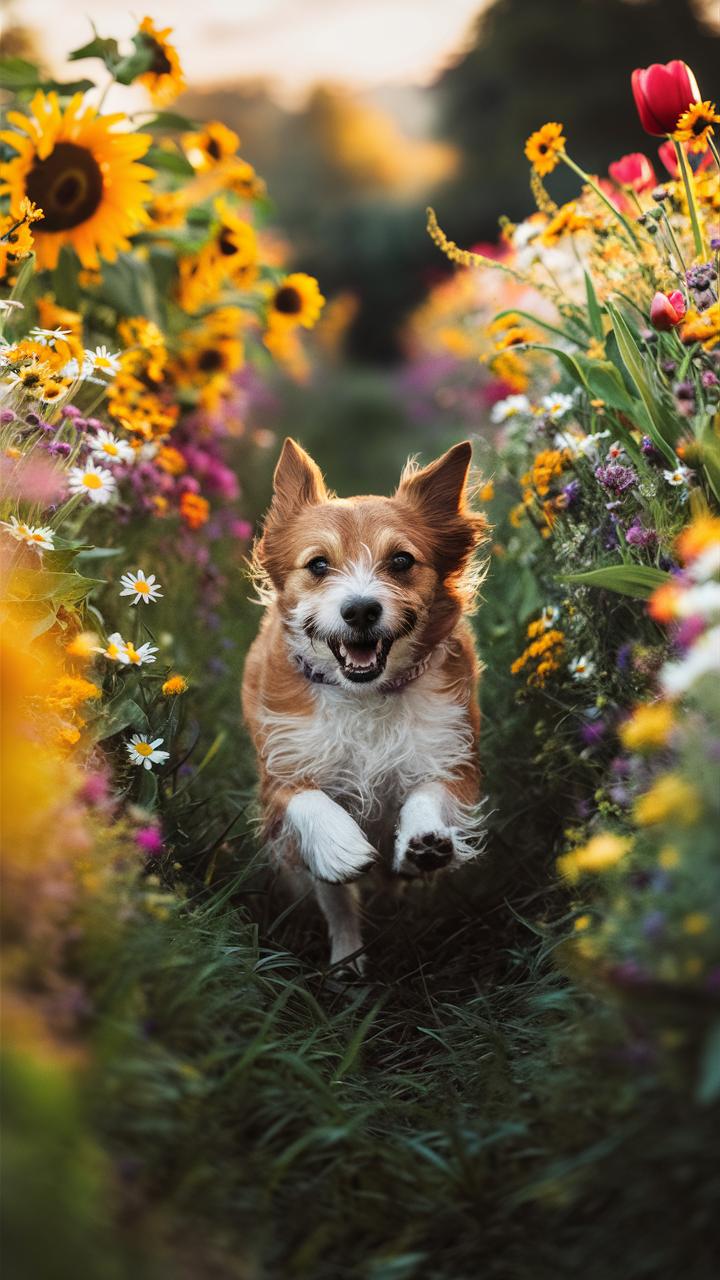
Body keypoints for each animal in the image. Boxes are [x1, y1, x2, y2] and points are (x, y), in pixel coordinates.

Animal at [242, 435, 486, 962]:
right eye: (318, 564)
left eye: (401, 561)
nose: (359, 609)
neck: (366, 696)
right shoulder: (278, 772)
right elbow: (305, 798)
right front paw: (340, 844)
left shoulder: (454, 755)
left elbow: (431, 791)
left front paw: (424, 840)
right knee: (335, 899)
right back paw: (346, 959)